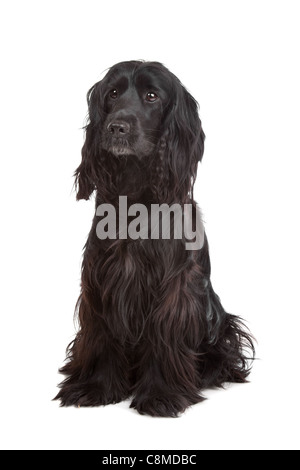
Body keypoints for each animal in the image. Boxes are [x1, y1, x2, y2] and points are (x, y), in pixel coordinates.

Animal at [55, 60, 254, 416]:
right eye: (113, 93)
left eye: (152, 96)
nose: (116, 127)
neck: (136, 197)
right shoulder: (99, 281)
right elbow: (102, 334)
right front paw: (95, 387)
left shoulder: (173, 289)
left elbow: (164, 335)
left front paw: (161, 394)